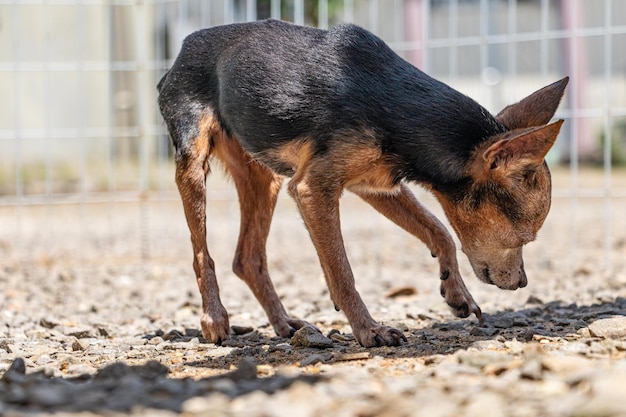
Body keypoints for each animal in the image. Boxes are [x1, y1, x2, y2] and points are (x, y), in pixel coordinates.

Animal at [156, 19, 564, 346]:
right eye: (524, 238)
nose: (523, 283)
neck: (400, 107)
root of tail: (183, 48)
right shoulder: (313, 188)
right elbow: (342, 270)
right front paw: (369, 330)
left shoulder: (376, 185)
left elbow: (439, 230)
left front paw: (456, 291)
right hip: (193, 163)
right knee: (202, 254)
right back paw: (214, 319)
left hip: (262, 175)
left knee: (248, 258)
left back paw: (285, 323)